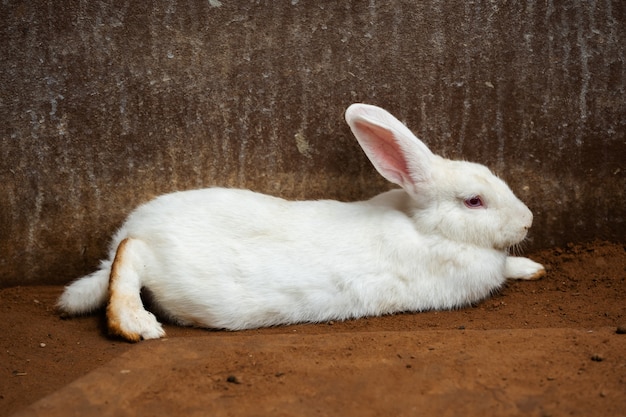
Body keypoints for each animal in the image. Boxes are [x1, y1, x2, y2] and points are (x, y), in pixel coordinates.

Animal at [59, 102, 544, 340]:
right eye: (474, 201)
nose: (527, 222)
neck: (425, 227)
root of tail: (134, 226)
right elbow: (501, 265)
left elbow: (509, 264)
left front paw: (534, 267)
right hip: (151, 257)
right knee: (128, 259)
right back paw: (136, 325)